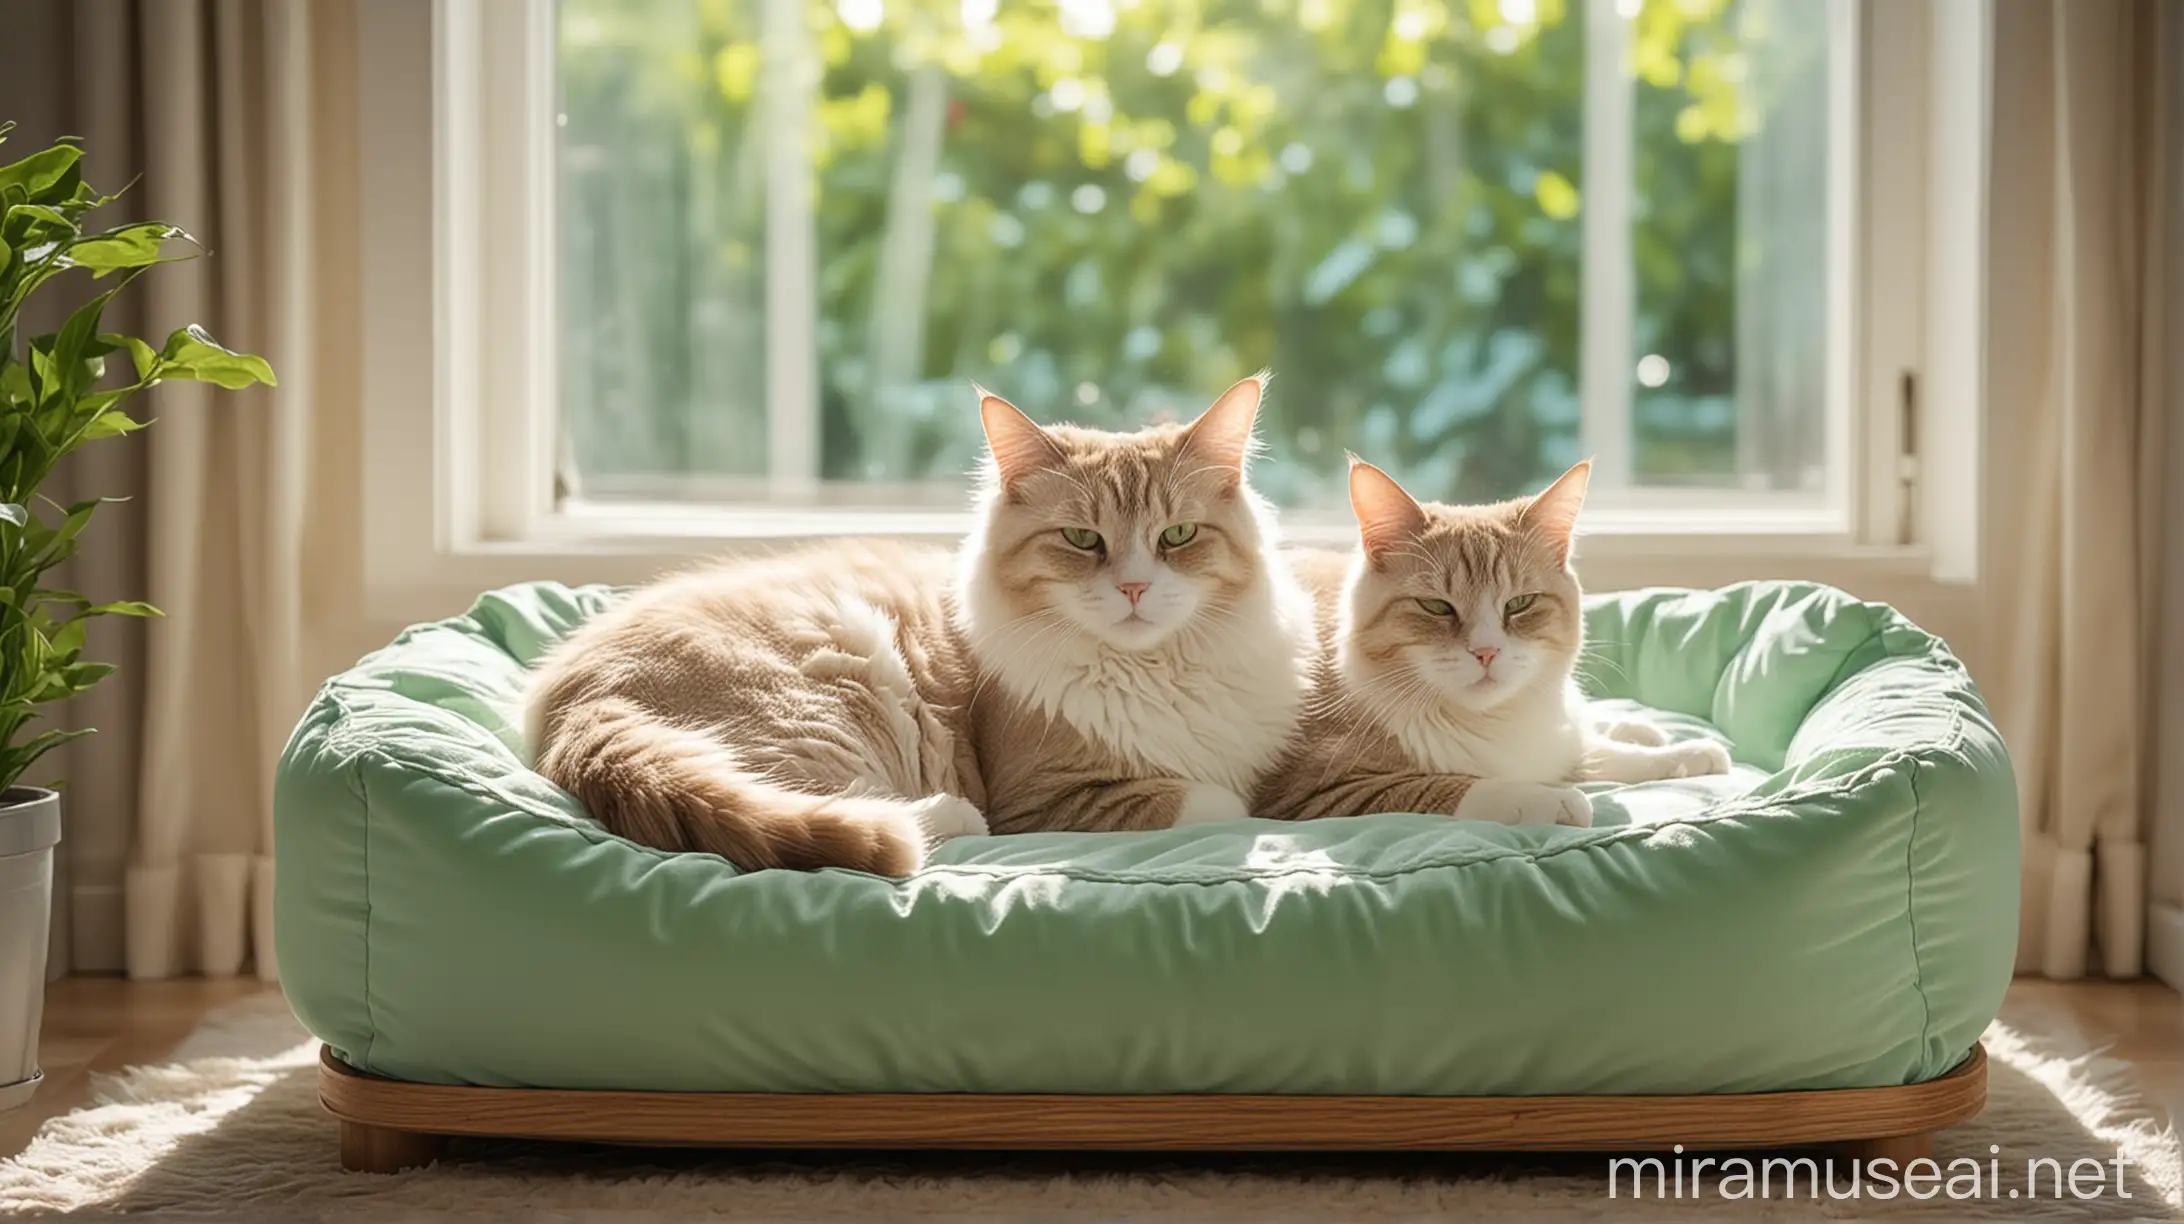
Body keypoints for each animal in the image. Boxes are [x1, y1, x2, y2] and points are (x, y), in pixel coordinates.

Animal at [524, 373, 1310, 869]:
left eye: (1178, 536)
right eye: (1081, 540)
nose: (1136, 589)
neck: (1154, 671)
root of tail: (577, 697)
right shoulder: (1049, 799)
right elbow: (1226, 803)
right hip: (839, 689)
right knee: (840, 808)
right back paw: (944, 820)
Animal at [1257, 454, 1729, 826]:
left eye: (1519, 603)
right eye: (1436, 607)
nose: (1486, 652)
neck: (1492, 722)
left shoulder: (1554, 744)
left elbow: (1600, 755)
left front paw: (1686, 756)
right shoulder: (1320, 792)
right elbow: (1455, 785)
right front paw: (1547, 799)